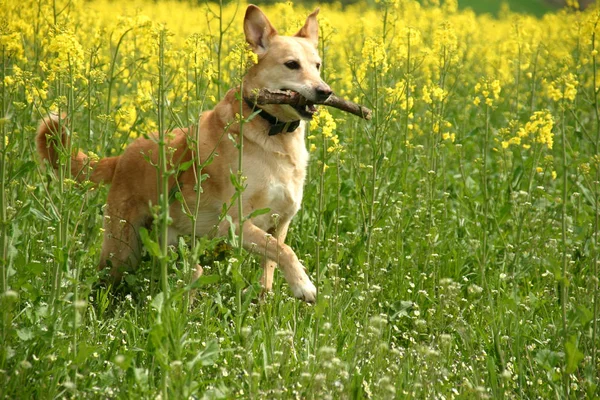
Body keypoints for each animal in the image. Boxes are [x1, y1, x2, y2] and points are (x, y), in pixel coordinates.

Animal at [35, 4, 332, 302]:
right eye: (292, 64)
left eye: (317, 66)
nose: (325, 92)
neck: (273, 132)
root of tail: (123, 156)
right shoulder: (234, 224)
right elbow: (285, 251)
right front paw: (304, 285)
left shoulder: (279, 224)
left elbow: (271, 264)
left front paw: (268, 298)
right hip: (122, 249)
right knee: (107, 280)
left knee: (191, 272)